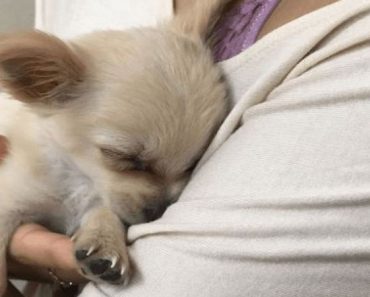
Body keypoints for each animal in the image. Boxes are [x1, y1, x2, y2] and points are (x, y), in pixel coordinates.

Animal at [0, 0, 230, 292]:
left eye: (192, 164)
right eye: (123, 157)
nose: (159, 209)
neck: (80, 179)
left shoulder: (97, 201)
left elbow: (105, 211)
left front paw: (104, 241)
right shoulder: (10, 200)